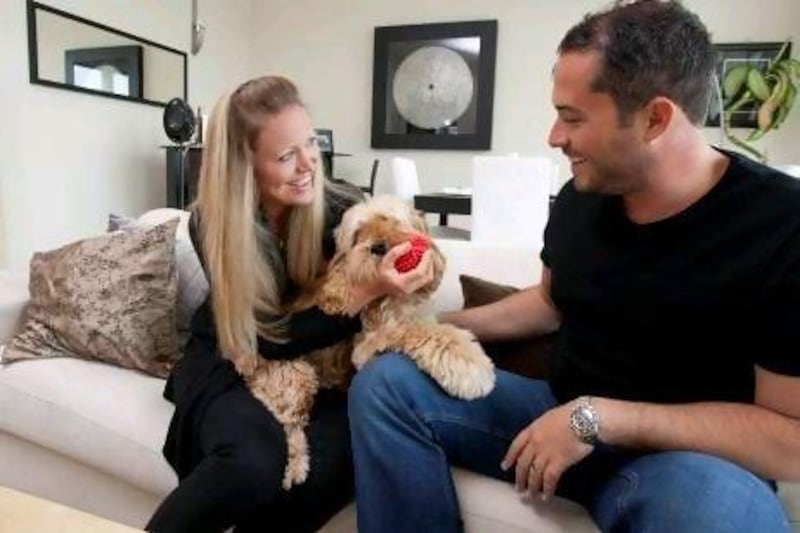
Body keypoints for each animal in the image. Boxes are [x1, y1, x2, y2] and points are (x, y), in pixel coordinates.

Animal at [230, 194, 494, 486]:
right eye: (359, 234)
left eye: (390, 220)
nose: (378, 247)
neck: (387, 297)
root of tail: (243, 354)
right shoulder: (370, 343)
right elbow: (420, 332)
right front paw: (470, 366)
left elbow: (430, 326)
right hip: (297, 376)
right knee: (288, 421)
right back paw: (296, 468)